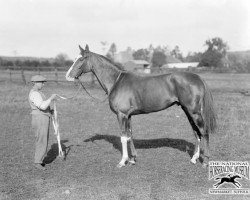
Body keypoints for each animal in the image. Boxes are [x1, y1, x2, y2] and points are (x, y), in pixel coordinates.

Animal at [66, 45, 217, 167]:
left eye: (81, 59)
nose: (68, 76)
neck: (116, 81)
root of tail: (197, 77)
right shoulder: (128, 116)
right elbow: (129, 135)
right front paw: (133, 159)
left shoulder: (121, 115)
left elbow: (123, 137)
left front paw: (123, 161)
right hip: (187, 110)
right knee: (196, 132)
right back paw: (194, 158)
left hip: (194, 111)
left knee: (204, 131)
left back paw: (206, 161)